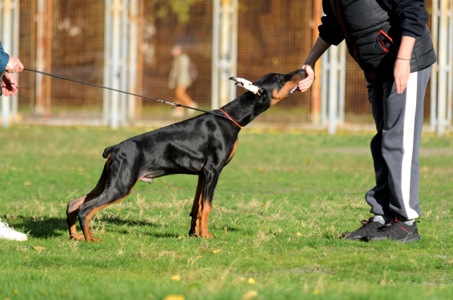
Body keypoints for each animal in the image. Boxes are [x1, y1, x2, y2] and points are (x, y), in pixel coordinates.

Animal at [65, 68, 306, 241]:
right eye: (280, 77)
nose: (303, 71)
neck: (231, 117)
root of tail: (114, 148)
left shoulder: (202, 174)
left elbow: (197, 207)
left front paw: (194, 234)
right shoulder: (213, 170)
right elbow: (207, 206)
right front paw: (206, 236)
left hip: (109, 180)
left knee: (74, 203)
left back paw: (76, 237)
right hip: (122, 184)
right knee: (86, 208)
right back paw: (90, 239)